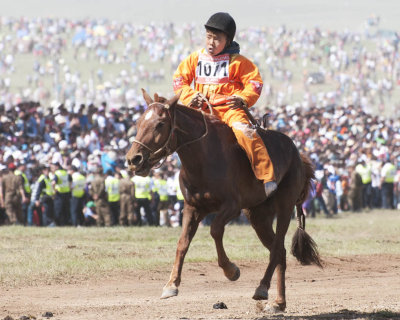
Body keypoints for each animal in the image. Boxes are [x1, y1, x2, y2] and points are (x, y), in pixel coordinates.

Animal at [126, 89, 322, 312]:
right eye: (139, 121)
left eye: (160, 124)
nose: (134, 159)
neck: (204, 159)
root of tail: (298, 155)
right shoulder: (192, 207)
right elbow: (182, 243)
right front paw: (171, 284)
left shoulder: (232, 207)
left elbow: (215, 230)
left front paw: (231, 270)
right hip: (258, 216)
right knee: (279, 250)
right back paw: (279, 302)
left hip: (284, 207)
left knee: (276, 248)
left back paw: (262, 287)